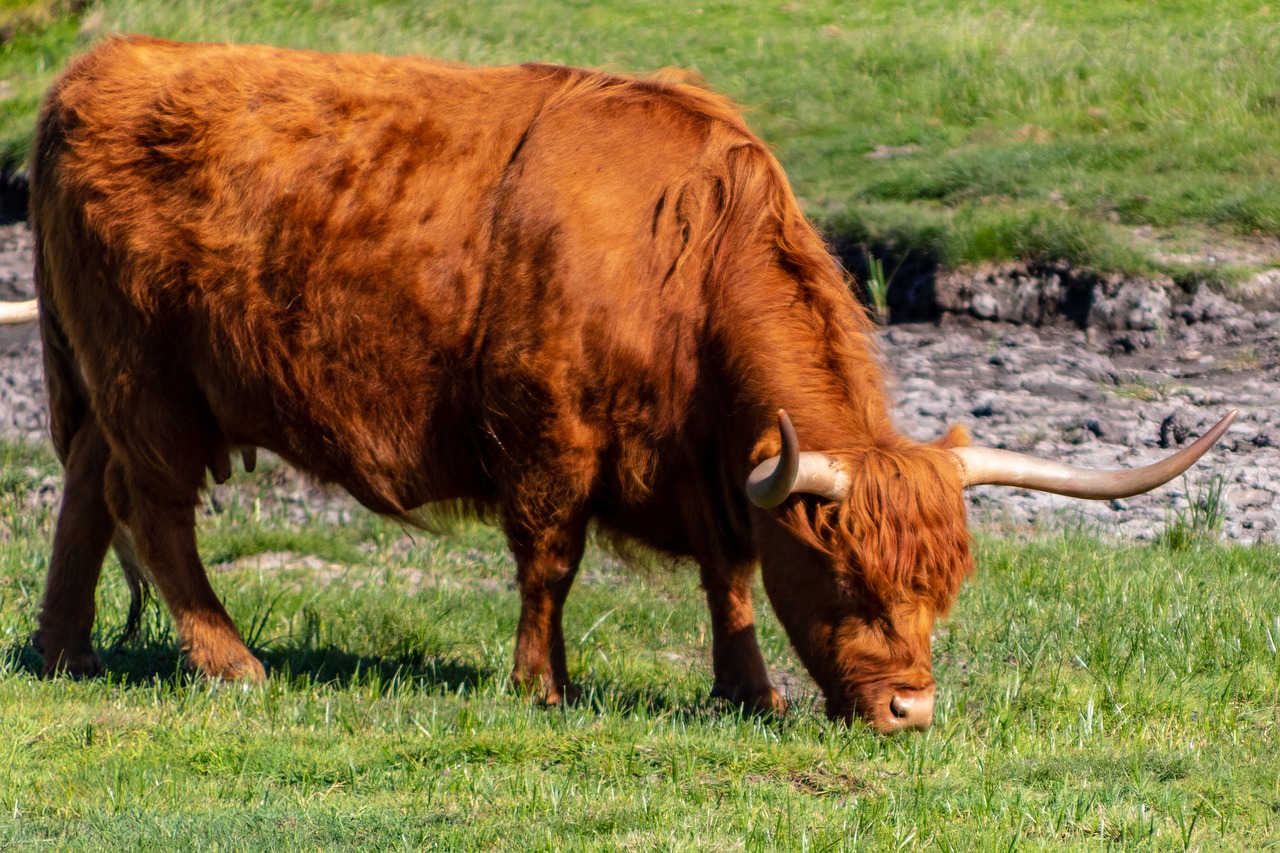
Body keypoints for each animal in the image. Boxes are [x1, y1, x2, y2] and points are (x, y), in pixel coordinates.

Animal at [27, 38, 1228, 732]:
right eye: (847, 580)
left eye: (946, 588)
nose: (908, 709)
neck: (683, 255)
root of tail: (100, 65)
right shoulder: (546, 427)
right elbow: (549, 562)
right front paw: (542, 685)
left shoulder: (714, 461)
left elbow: (729, 576)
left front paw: (749, 687)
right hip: (145, 372)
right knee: (151, 505)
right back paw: (232, 663)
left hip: (99, 373)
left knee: (84, 489)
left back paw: (65, 650)